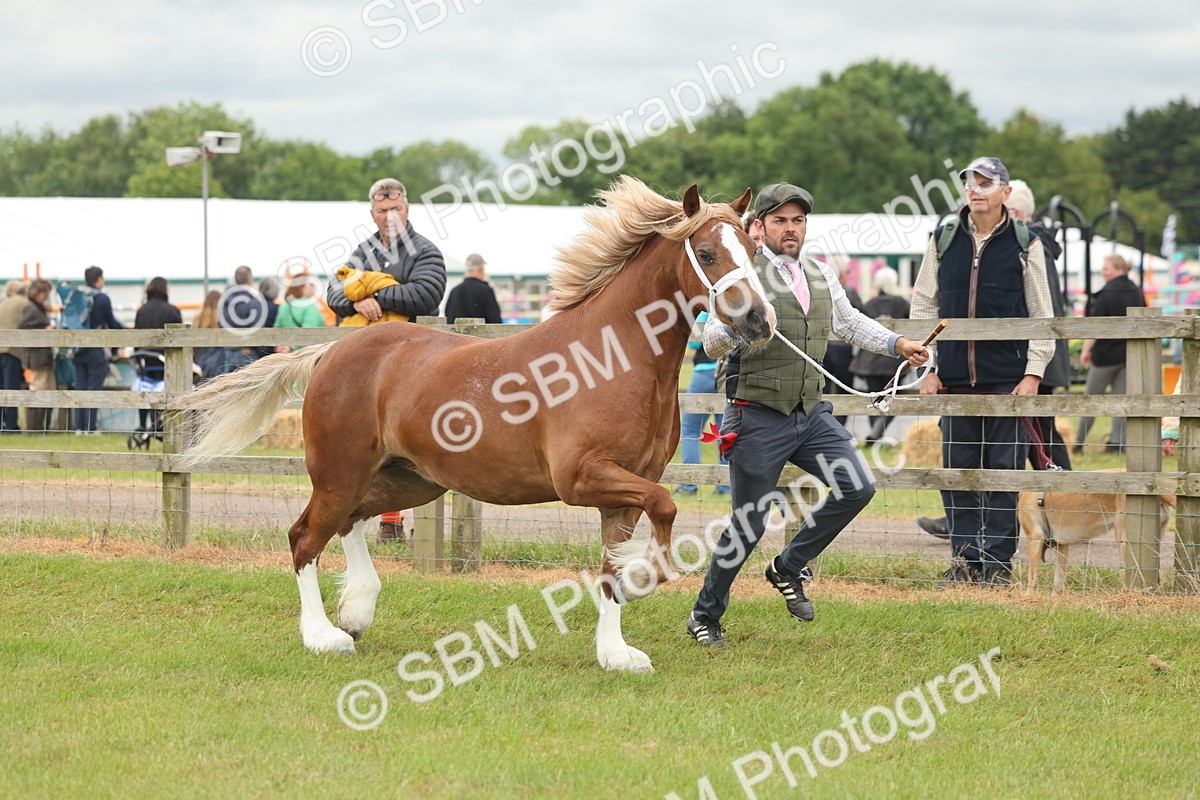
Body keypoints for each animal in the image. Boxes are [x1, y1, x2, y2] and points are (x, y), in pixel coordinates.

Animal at [177, 177, 776, 672]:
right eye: (705, 252)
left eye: (753, 250)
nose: (759, 320)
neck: (613, 358)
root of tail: (329, 352)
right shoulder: (582, 478)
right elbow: (666, 508)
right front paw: (645, 576)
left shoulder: (624, 490)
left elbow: (613, 565)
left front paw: (616, 654)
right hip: (340, 473)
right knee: (304, 537)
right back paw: (324, 635)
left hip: (411, 479)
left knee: (349, 522)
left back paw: (357, 610)